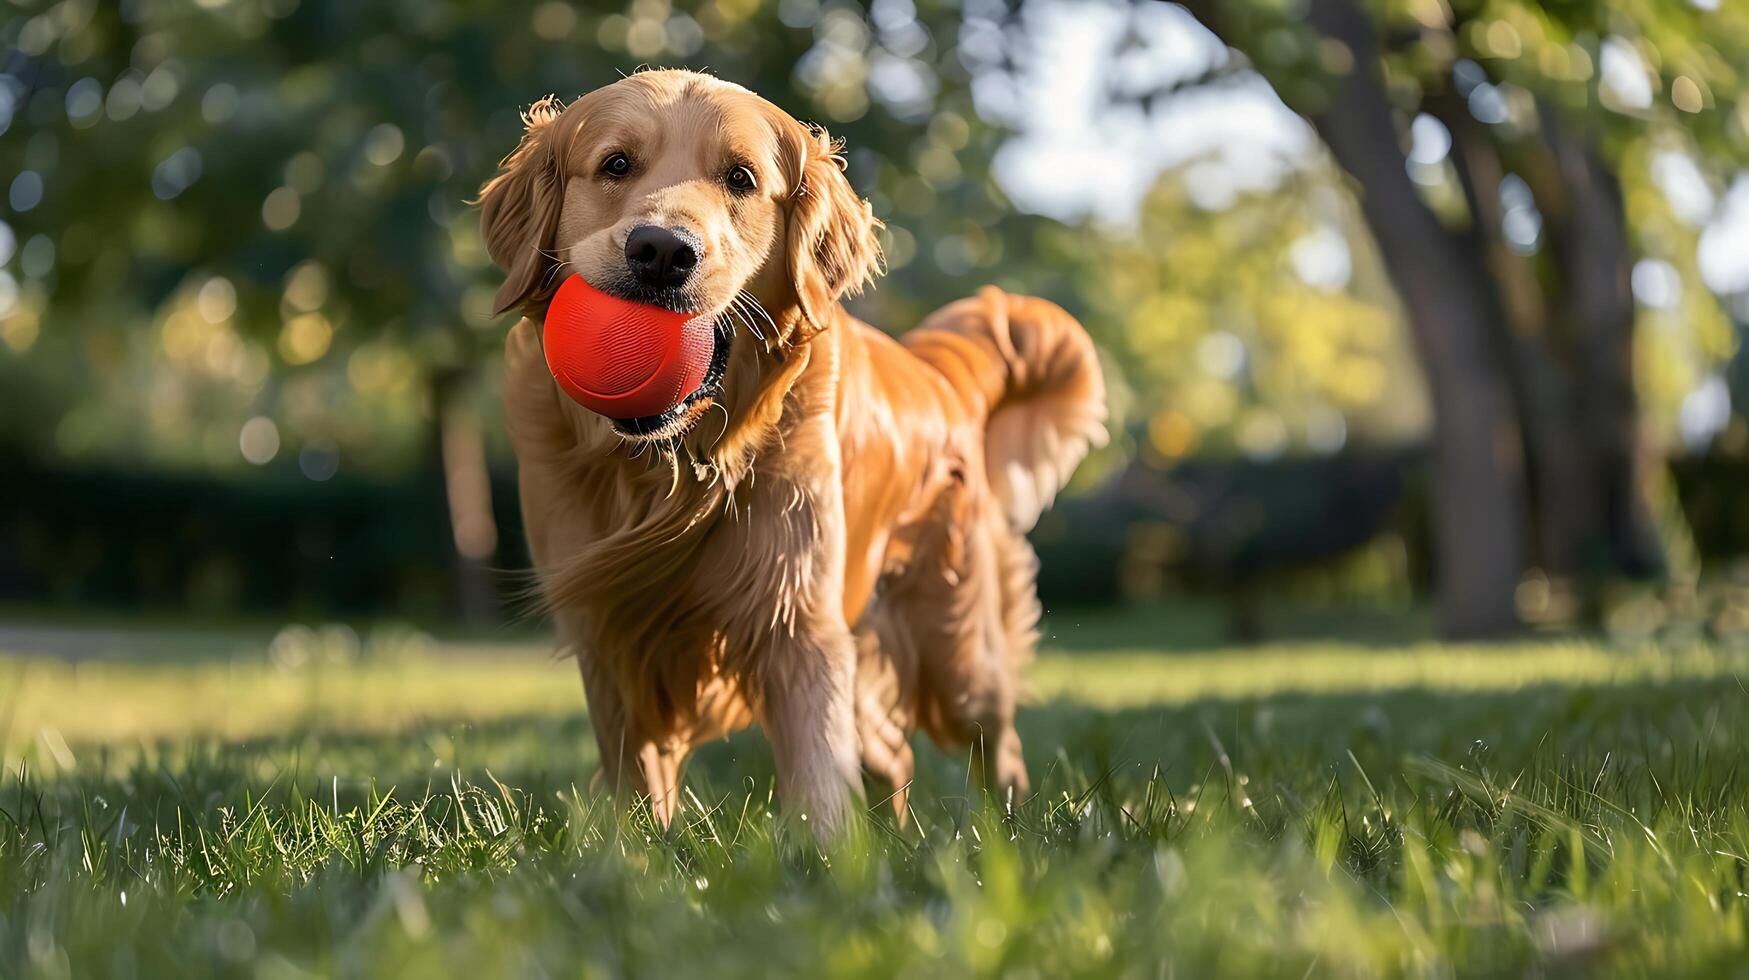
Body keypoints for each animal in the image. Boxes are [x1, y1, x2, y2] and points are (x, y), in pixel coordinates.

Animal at [475, 70, 1105, 833]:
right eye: (616, 164)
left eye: (740, 178)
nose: (661, 252)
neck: (674, 469)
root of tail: (933, 373)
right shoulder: (607, 621)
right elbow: (635, 774)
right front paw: (634, 848)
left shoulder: (795, 613)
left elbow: (815, 762)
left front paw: (825, 851)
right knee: (891, 750)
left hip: (957, 647)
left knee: (995, 740)